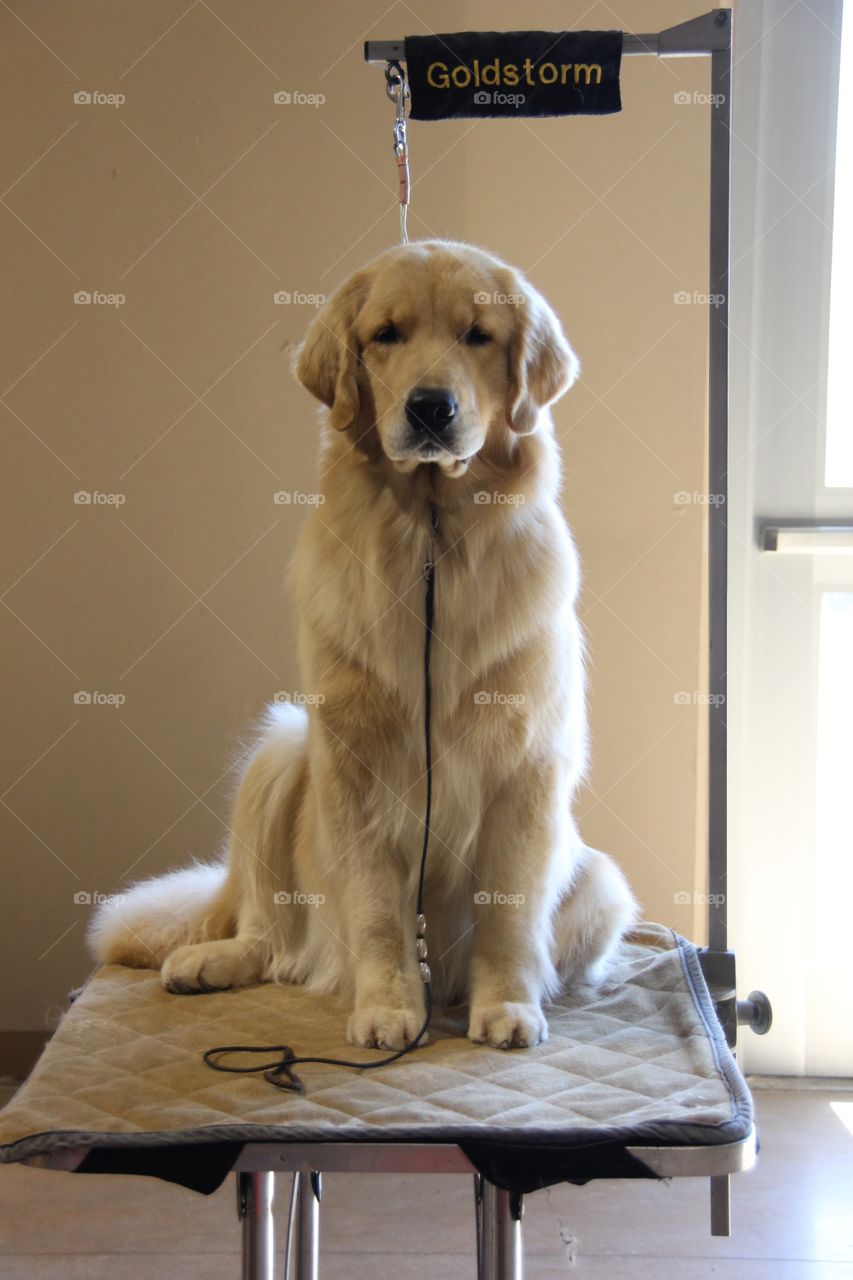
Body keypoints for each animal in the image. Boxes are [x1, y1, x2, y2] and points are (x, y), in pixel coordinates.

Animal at [89, 240, 635, 1049]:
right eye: (386, 335)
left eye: (479, 336)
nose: (431, 407)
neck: (432, 536)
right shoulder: (351, 761)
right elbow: (377, 907)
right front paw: (385, 1006)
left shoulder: (526, 765)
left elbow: (508, 912)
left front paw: (506, 1005)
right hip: (279, 757)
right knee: (268, 932)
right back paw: (211, 961)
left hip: (600, 883)